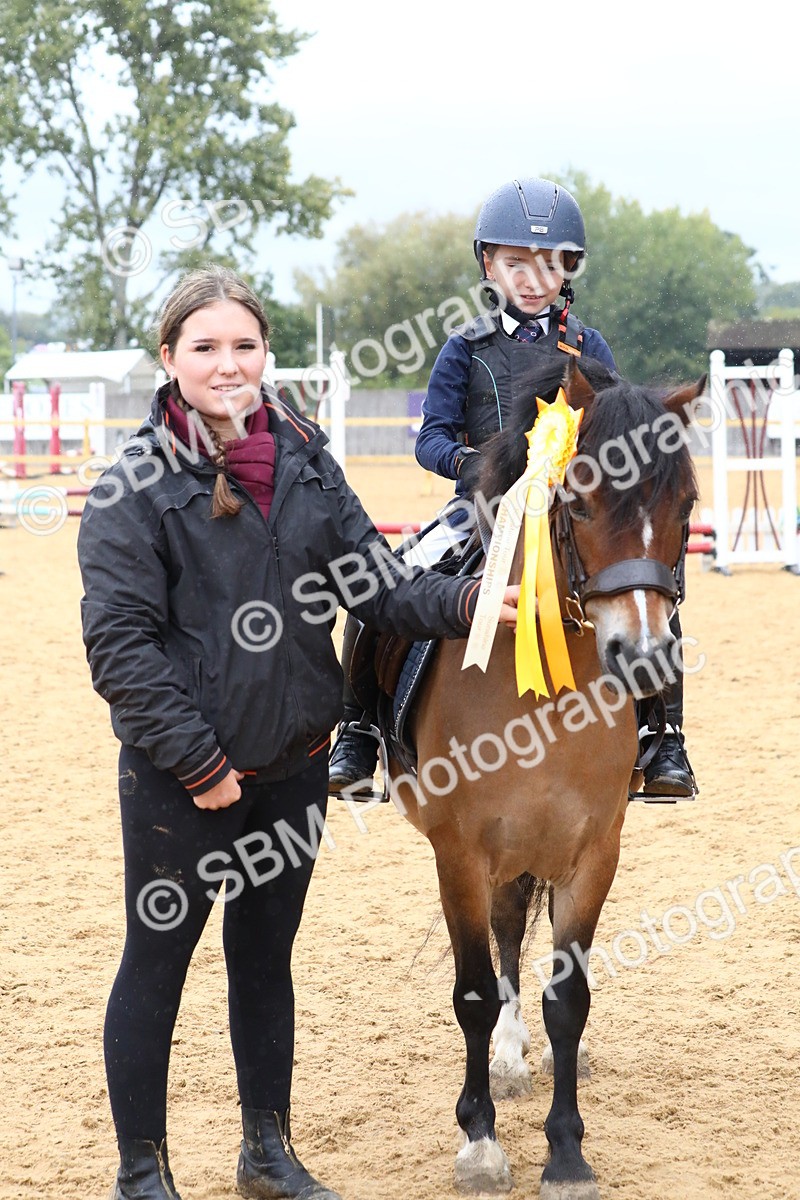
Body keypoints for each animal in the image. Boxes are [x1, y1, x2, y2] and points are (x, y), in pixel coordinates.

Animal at [387, 356, 704, 1199]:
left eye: (687, 504)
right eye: (581, 497)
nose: (646, 658)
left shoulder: (593, 851)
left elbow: (570, 997)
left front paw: (565, 1153)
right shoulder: (459, 853)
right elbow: (471, 989)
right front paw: (480, 1142)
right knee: (500, 947)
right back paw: (503, 1056)